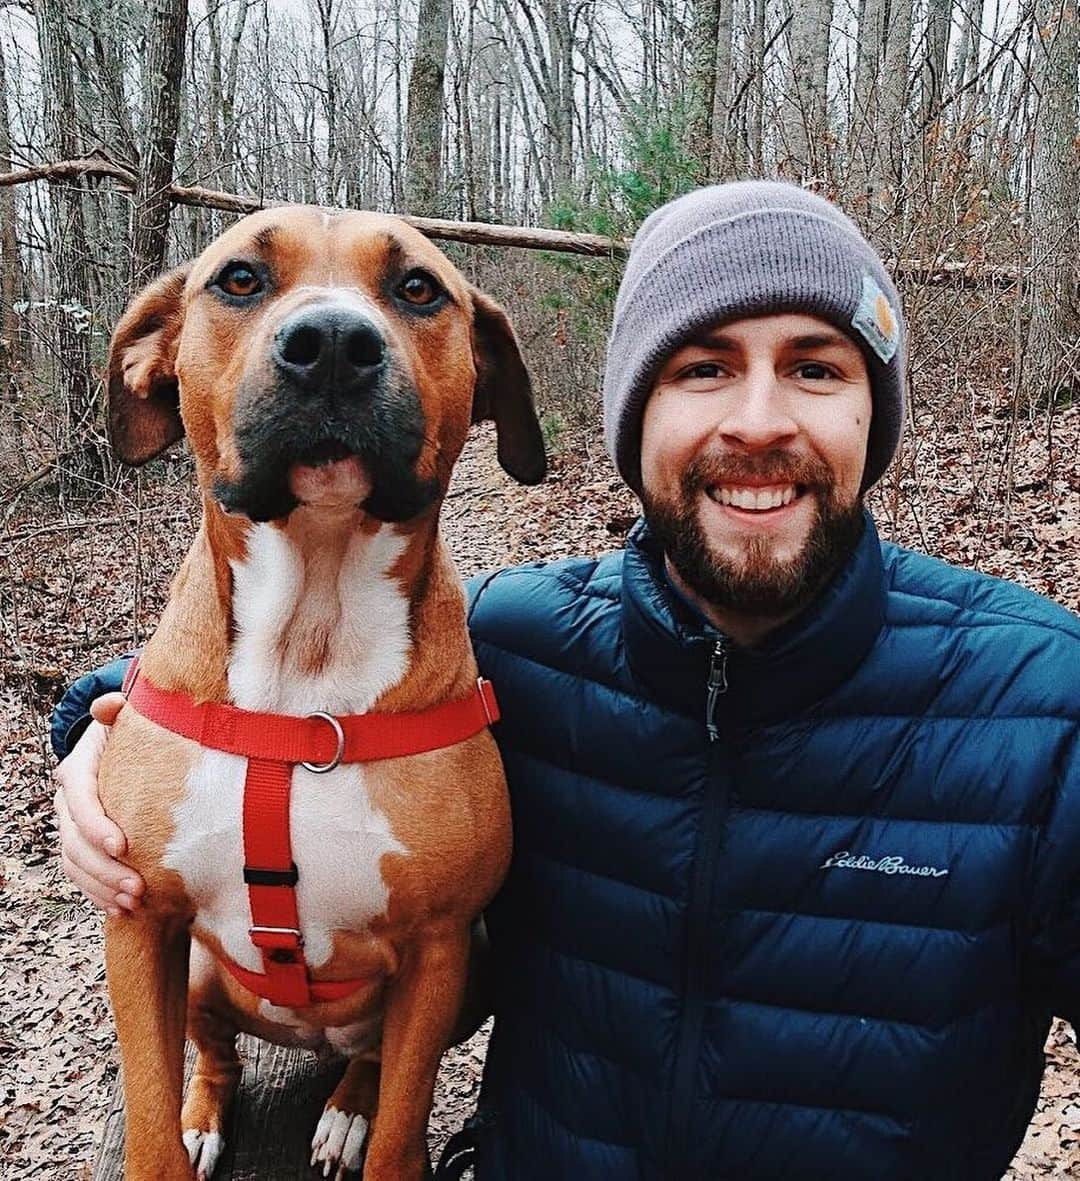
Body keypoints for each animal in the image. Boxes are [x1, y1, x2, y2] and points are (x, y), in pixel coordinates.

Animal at [96, 207, 543, 1176]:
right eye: (239, 279)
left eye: (417, 287)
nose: (333, 344)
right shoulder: (140, 922)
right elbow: (147, 1113)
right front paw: (171, 1130)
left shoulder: (440, 943)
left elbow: (405, 1122)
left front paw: (377, 1130)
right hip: (197, 969)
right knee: (215, 1052)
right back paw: (205, 1113)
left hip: (479, 962)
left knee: (370, 1057)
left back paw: (345, 1109)